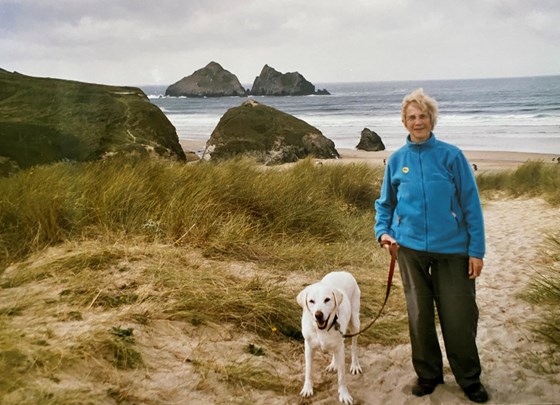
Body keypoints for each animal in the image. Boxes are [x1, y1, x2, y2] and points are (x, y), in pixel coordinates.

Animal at [296, 270, 360, 402]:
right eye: (311, 301)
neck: (321, 330)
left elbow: (342, 376)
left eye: (327, 300)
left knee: (354, 346)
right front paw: (307, 388)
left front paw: (344, 394)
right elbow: (308, 370)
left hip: (355, 322)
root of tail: (342, 271)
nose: (318, 315)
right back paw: (333, 364)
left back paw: (355, 365)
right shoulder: (308, 348)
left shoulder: (340, 348)